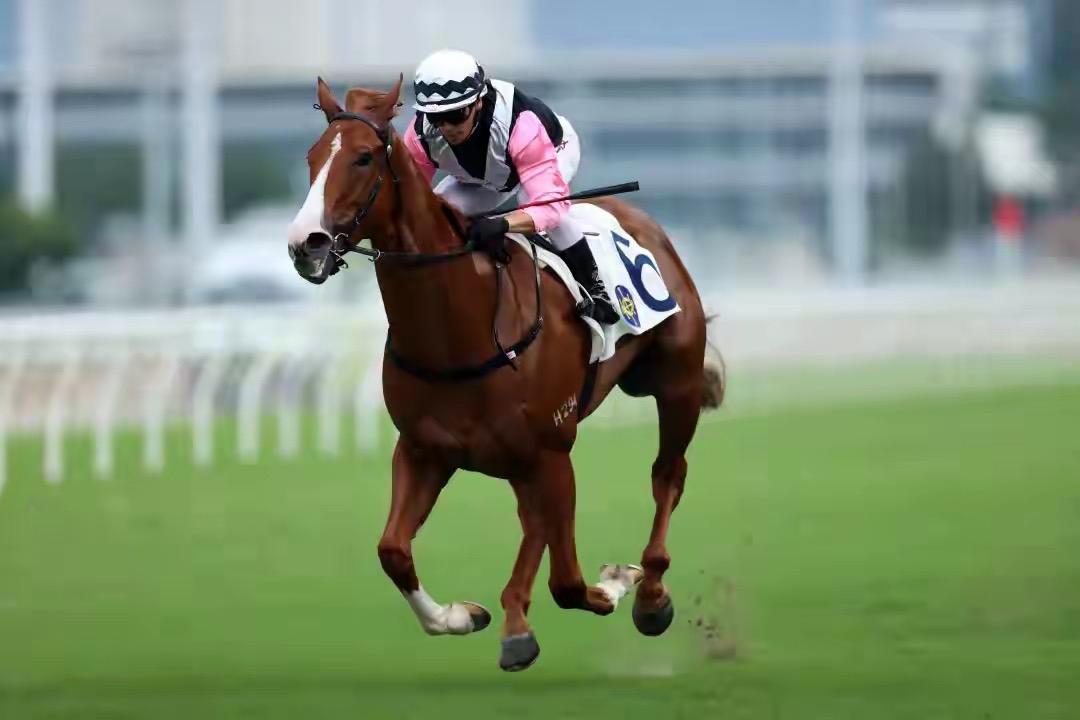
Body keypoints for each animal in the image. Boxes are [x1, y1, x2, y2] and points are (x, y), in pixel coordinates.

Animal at [286, 74, 725, 672]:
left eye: (361, 158)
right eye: (312, 158)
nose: (304, 244)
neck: (459, 331)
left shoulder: (552, 450)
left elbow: (569, 581)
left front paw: (615, 581)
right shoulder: (424, 450)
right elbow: (393, 550)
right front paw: (463, 616)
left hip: (674, 384)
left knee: (667, 476)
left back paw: (651, 592)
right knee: (535, 520)